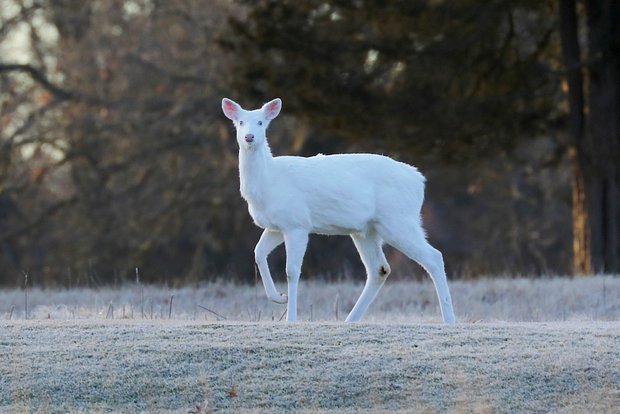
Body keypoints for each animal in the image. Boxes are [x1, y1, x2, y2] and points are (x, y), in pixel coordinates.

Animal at [222, 98, 456, 324]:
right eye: (240, 122)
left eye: (261, 122)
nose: (249, 136)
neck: (268, 182)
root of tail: (419, 181)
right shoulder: (277, 226)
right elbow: (258, 252)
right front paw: (279, 297)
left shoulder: (298, 223)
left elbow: (292, 271)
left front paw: (291, 318)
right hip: (367, 230)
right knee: (380, 269)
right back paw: (350, 319)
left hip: (398, 220)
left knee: (434, 257)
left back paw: (449, 319)